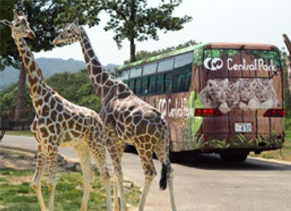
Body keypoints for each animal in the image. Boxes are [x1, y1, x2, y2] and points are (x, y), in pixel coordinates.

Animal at [0, 11, 113, 211]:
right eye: (16, 24)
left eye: (27, 23)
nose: (31, 35)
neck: (39, 101)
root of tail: (99, 120)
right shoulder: (41, 142)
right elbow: (35, 182)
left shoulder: (52, 142)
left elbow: (52, 182)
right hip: (81, 145)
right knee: (89, 175)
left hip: (97, 143)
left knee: (106, 176)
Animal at [53, 18, 178, 211]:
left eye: (68, 31)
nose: (55, 40)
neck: (104, 89)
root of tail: (163, 125)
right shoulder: (118, 140)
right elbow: (119, 172)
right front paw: (120, 206)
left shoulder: (108, 138)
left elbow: (116, 172)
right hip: (161, 145)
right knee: (170, 170)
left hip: (143, 146)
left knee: (150, 172)